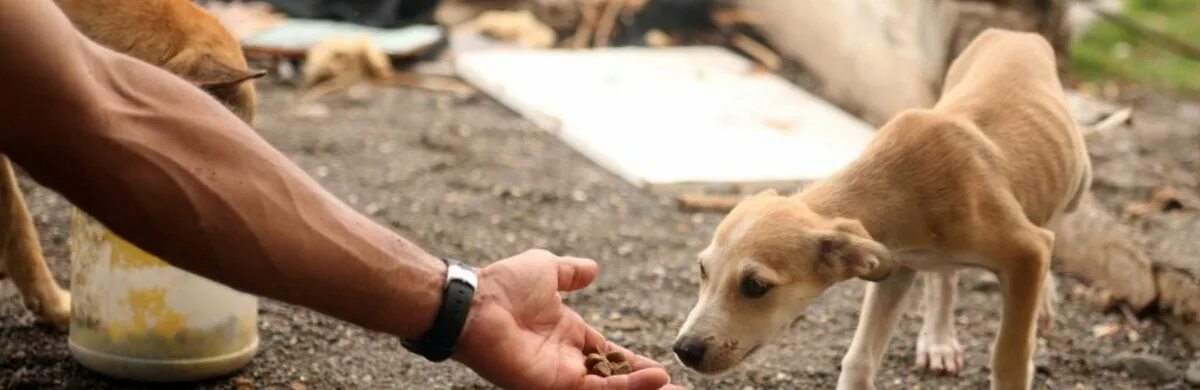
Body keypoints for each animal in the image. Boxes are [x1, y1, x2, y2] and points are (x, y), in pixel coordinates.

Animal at [672, 28, 1094, 388]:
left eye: (755, 286)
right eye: (703, 270)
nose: (683, 350)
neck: (901, 184)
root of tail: (1014, 32)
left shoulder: (1026, 251)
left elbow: (1009, 354)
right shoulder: (895, 267)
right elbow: (860, 357)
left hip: (1078, 182)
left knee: (1053, 221)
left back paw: (1043, 301)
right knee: (945, 277)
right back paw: (939, 341)